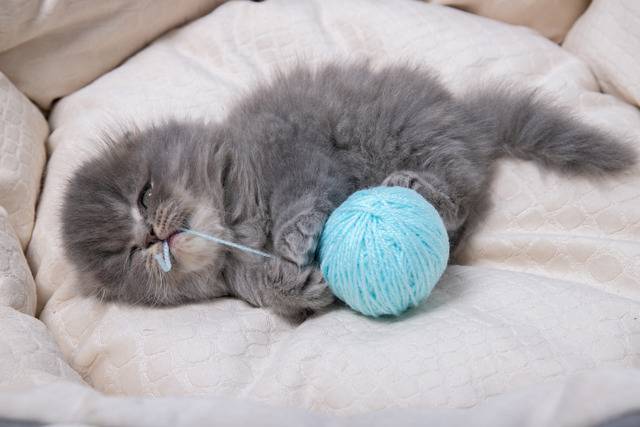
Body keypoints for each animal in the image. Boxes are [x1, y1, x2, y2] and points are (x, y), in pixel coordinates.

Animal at [62, 62, 636, 318]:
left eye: (143, 195)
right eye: (126, 254)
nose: (154, 237)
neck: (230, 205)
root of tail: (467, 119)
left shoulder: (294, 150)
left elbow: (298, 197)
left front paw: (293, 243)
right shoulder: (233, 275)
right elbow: (257, 288)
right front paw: (296, 287)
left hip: (407, 136)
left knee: (457, 193)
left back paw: (409, 185)